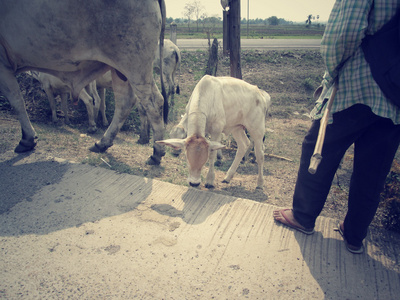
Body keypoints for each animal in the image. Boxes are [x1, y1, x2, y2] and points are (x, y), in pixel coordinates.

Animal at [0, 0, 167, 164]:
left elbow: (18, 102)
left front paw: (27, 139)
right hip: (120, 70)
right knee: (124, 103)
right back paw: (103, 143)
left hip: (135, 65)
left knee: (153, 102)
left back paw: (156, 152)